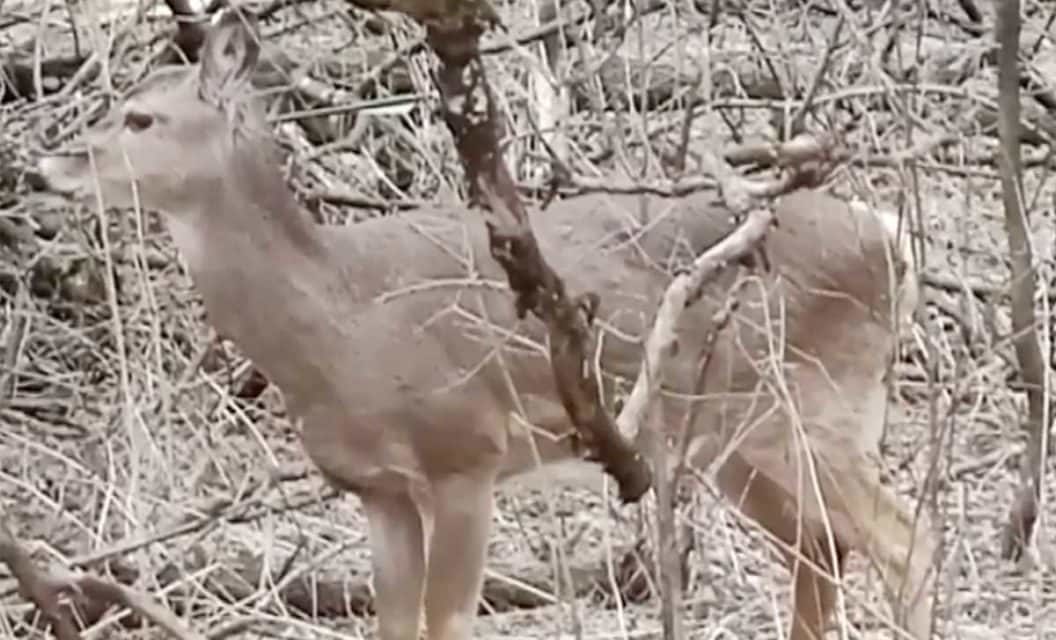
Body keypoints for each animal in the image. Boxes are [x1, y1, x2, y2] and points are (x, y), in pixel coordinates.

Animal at [37, 8, 937, 640]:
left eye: (142, 118)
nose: (48, 162)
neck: (338, 324)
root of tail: (888, 234)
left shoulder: (466, 450)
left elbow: (446, 622)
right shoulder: (380, 489)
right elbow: (394, 625)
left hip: (812, 403)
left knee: (904, 540)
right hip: (735, 441)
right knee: (822, 551)